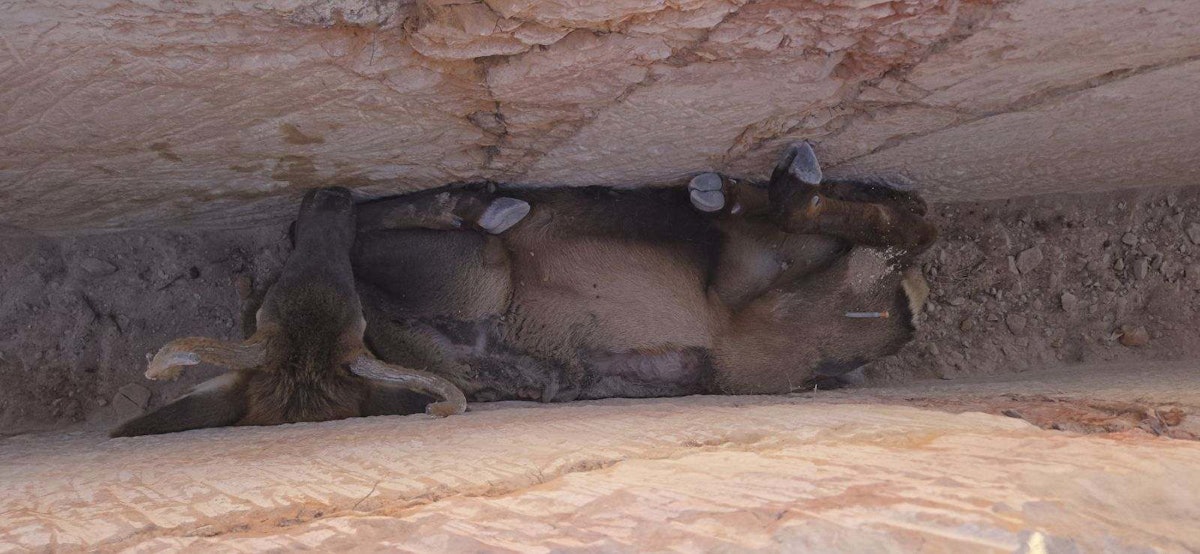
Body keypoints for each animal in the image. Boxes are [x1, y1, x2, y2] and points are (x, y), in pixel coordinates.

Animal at [111, 142, 936, 437]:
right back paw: (755, 187)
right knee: (905, 222)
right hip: (769, 272)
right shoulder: (472, 273)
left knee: (909, 222)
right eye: (281, 299)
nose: (326, 197)